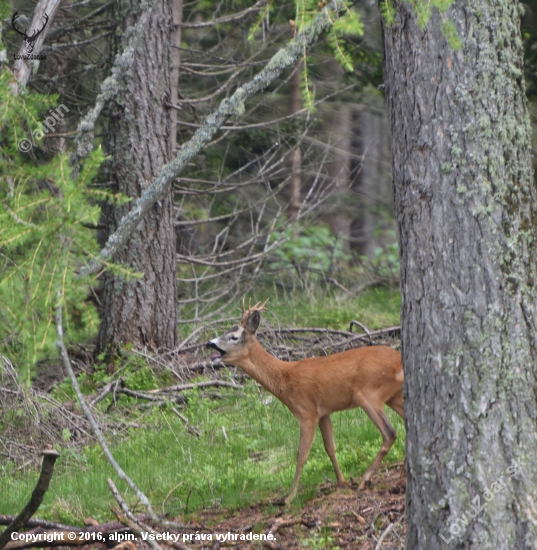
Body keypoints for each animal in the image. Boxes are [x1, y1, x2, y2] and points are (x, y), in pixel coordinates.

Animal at [205, 302, 402, 504]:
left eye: (234, 336)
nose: (209, 343)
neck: (284, 380)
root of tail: (399, 362)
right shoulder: (323, 413)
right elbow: (330, 447)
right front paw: (341, 481)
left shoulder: (306, 412)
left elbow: (301, 454)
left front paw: (289, 497)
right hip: (394, 397)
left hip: (368, 393)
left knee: (390, 433)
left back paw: (365, 479)